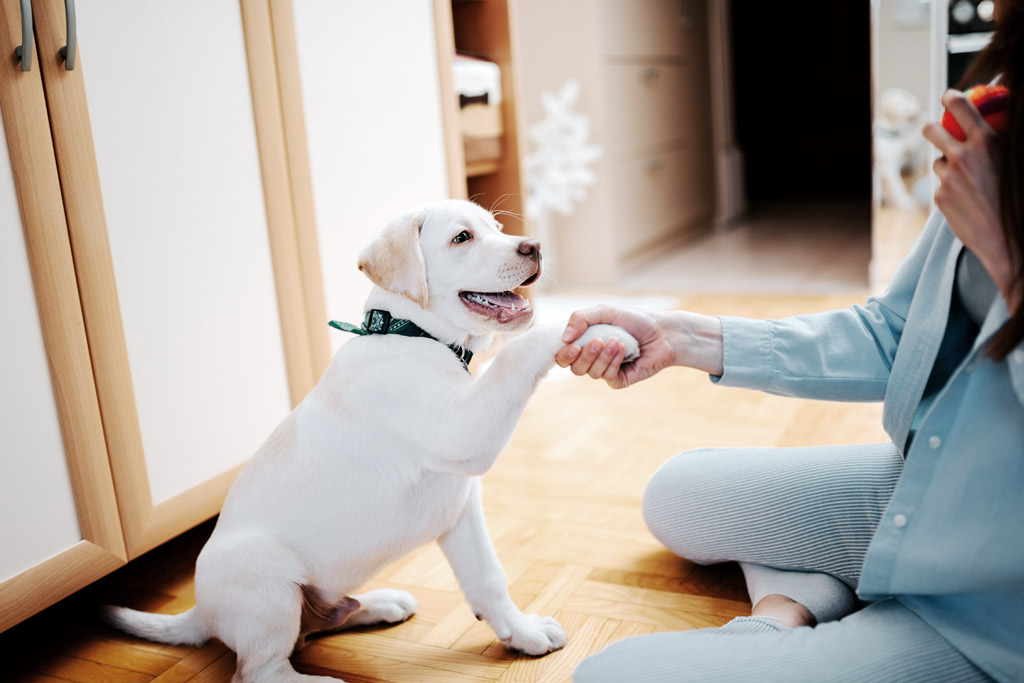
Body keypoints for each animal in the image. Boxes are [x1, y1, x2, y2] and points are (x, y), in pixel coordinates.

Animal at [108, 198, 643, 683]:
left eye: (496, 228)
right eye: (462, 238)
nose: (534, 246)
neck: (412, 336)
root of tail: (200, 611)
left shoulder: (460, 507)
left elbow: (488, 578)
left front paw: (522, 633)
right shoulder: (464, 432)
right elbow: (518, 353)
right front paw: (597, 329)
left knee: (311, 628)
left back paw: (379, 603)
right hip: (265, 580)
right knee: (260, 671)